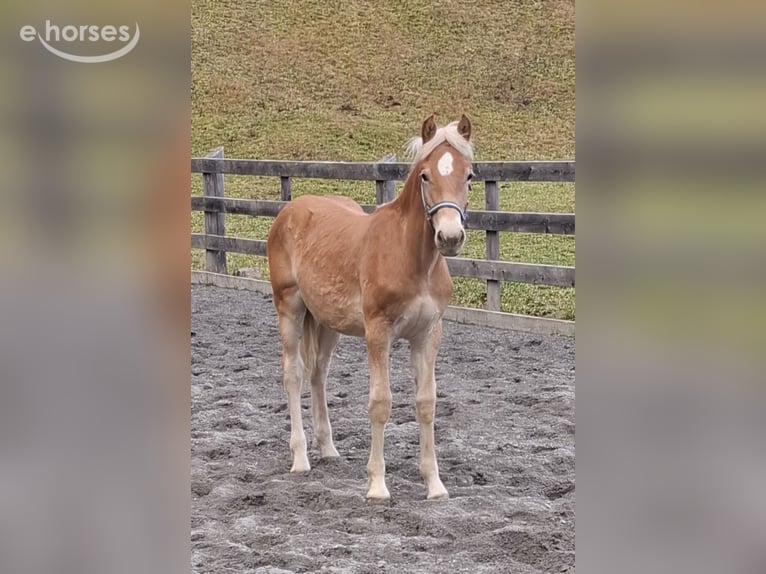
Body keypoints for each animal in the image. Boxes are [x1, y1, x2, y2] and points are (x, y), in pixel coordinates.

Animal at [266, 114, 474, 501]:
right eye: (425, 175)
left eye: (468, 175)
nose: (450, 237)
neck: (412, 259)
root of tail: (290, 209)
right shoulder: (378, 332)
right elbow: (380, 403)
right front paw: (377, 485)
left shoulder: (427, 334)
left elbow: (426, 403)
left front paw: (434, 484)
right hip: (289, 308)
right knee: (293, 374)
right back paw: (300, 458)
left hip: (326, 322)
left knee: (318, 373)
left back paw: (328, 448)